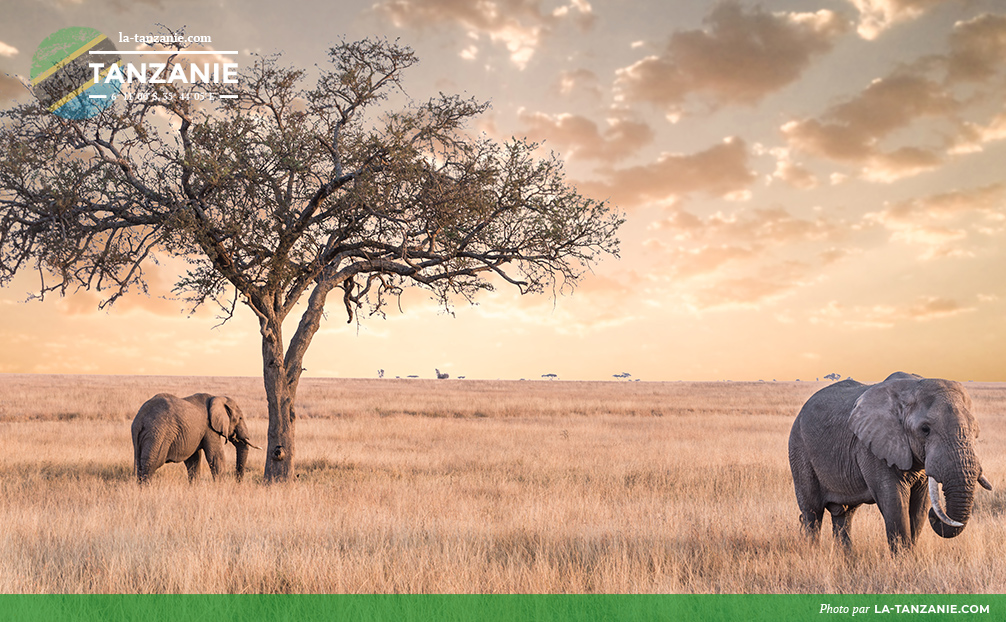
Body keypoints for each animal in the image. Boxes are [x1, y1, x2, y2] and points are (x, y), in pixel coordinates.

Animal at [129, 390, 261, 481]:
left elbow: (194, 459)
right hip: (158, 434)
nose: (238, 482)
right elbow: (215, 457)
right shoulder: (209, 428)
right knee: (151, 464)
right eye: (240, 418)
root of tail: (139, 419)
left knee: (141, 464)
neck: (217, 397)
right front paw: (222, 488)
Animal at [788, 370, 993, 551]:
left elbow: (919, 508)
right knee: (812, 513)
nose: (935, 516)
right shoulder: (872, 447)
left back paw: (845, 559)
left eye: (975, 432)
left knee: (844, 515)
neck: (911, 387)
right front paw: (903, 563)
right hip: (799, 449)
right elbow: (895, 503)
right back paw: (813, 554)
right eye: (925, 429)